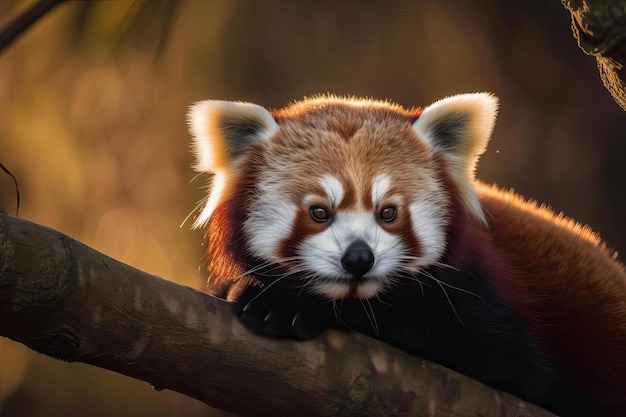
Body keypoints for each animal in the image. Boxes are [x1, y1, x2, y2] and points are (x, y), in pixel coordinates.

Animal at [185, 94, 624, 416]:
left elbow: (509, 360)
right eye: (319, 212)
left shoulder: (487, 299)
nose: (358, 259)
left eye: (388, 212)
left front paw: (285, 303)